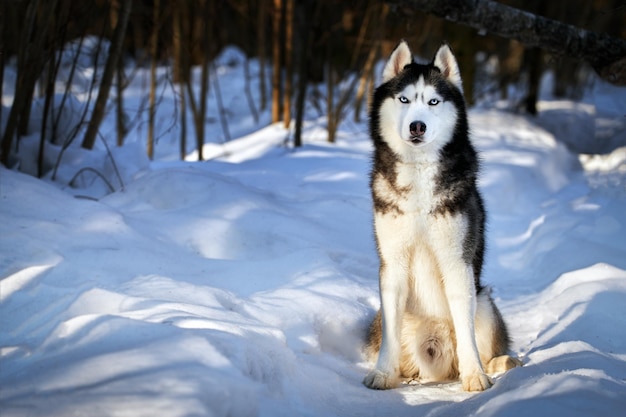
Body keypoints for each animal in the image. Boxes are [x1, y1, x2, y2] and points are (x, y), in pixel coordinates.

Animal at [360, 42, 516, 390]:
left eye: (433, 101)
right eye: (404, 99)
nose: (417, 125)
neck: (418, 175)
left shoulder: (457, 262)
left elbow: (466, 330)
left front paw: (475, 376)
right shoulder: (392, 263)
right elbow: (389, 336)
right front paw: (382, 373)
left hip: (484, 301)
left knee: (484, 341)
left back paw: (500, 363)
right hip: (385, 318)